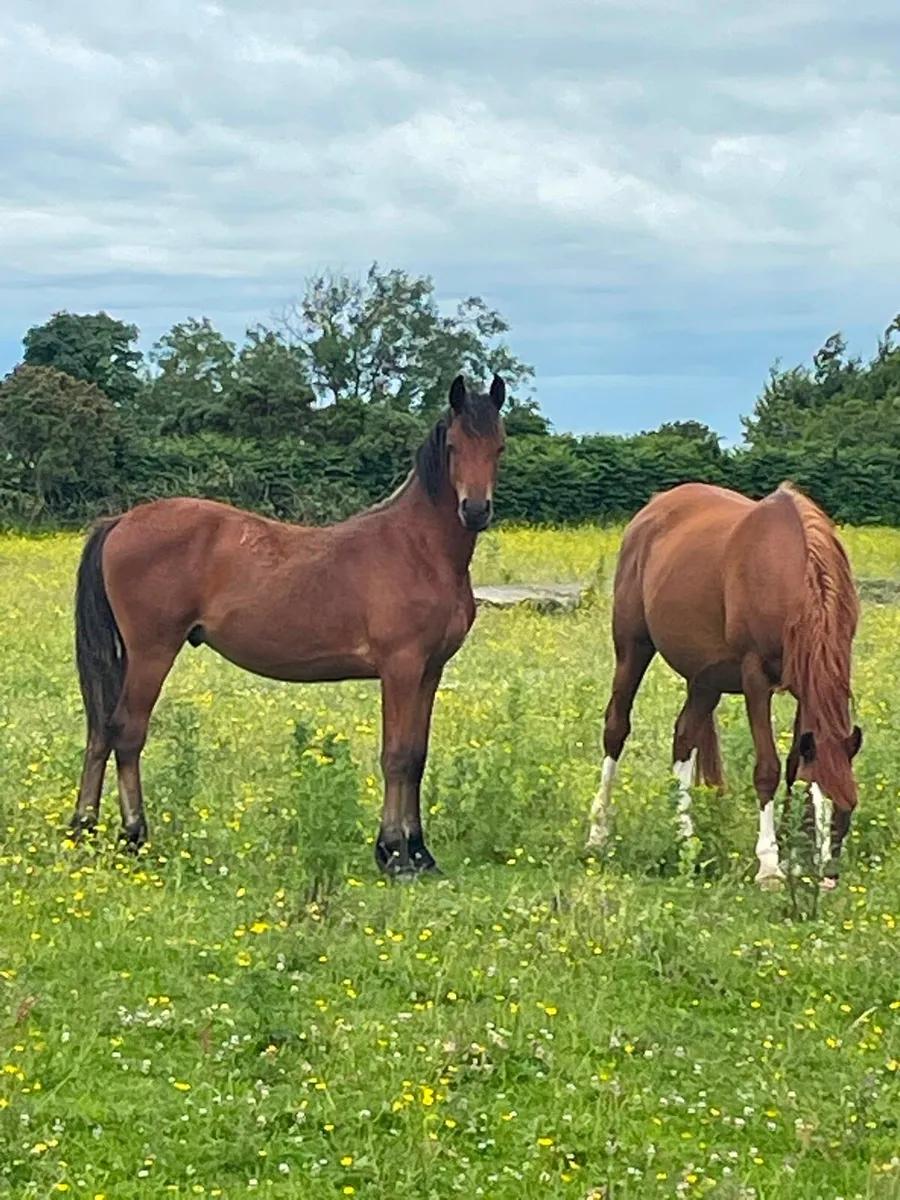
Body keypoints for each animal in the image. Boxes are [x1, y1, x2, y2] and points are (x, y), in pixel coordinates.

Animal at [70, 374, 507, 877]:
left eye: (499, 446)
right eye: (454, 446)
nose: (475, 510)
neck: (418, 550)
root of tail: (121, 520)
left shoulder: (429, 671)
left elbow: (416, 756)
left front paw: (419, 854)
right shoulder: (400, 668)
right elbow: (396, 757)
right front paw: (394, 855)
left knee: (101, 731)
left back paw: (83, 829)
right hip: (151, 652)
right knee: (127, 733)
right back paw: (133, 837)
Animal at [586, 481, 862, 886]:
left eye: (848, 807)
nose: (827, 878)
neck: (788, 570)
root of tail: (653, 508)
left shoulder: (803, 687)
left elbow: (795, 763)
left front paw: (791, 854)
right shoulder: (755, 677)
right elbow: (768, 768)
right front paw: (770, 864)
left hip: (705, 680)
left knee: (684, 736)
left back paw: (685, 840)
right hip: (632, 647)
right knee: (616, 728)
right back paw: (598, 833)